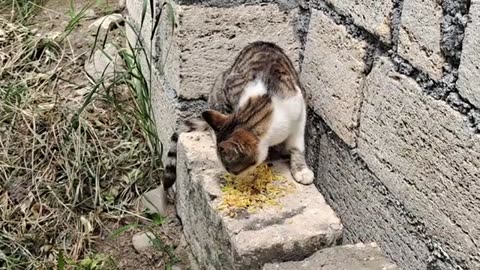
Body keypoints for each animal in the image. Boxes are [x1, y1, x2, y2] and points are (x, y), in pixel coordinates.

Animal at [161, 40, 316, 194]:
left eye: (232, 170)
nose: (230, 176)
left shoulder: (299, 112)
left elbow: (297, 147)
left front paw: (301, 170)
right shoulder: (230, 85)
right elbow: (227, 113)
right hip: (220, 81)